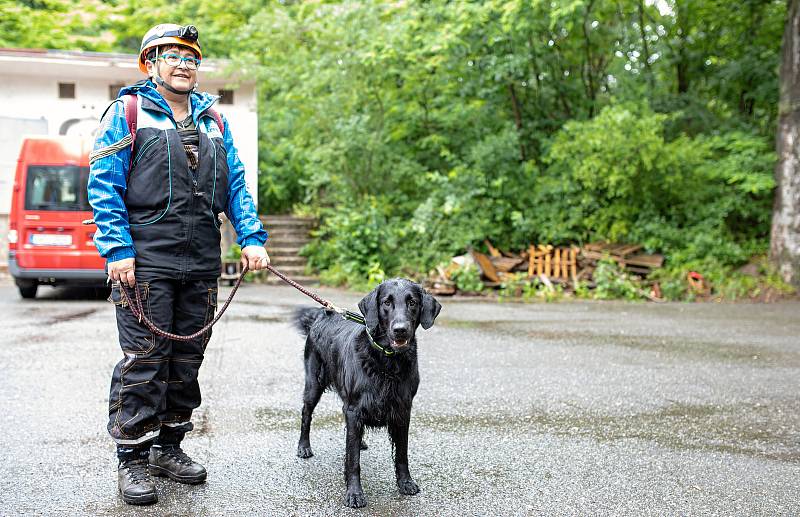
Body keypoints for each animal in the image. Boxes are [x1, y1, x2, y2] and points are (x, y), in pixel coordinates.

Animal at [296, 278, 444, 508]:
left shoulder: (403, 410)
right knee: (306, 414)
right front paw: (354, 493)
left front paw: (405, 483)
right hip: (313, 383)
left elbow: (402, 454)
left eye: (412, 302)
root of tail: (322, 314)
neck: (388, 363)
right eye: (386, 302)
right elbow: (353, 459)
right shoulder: (354, 409)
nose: (400, 330)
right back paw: (304, 447)